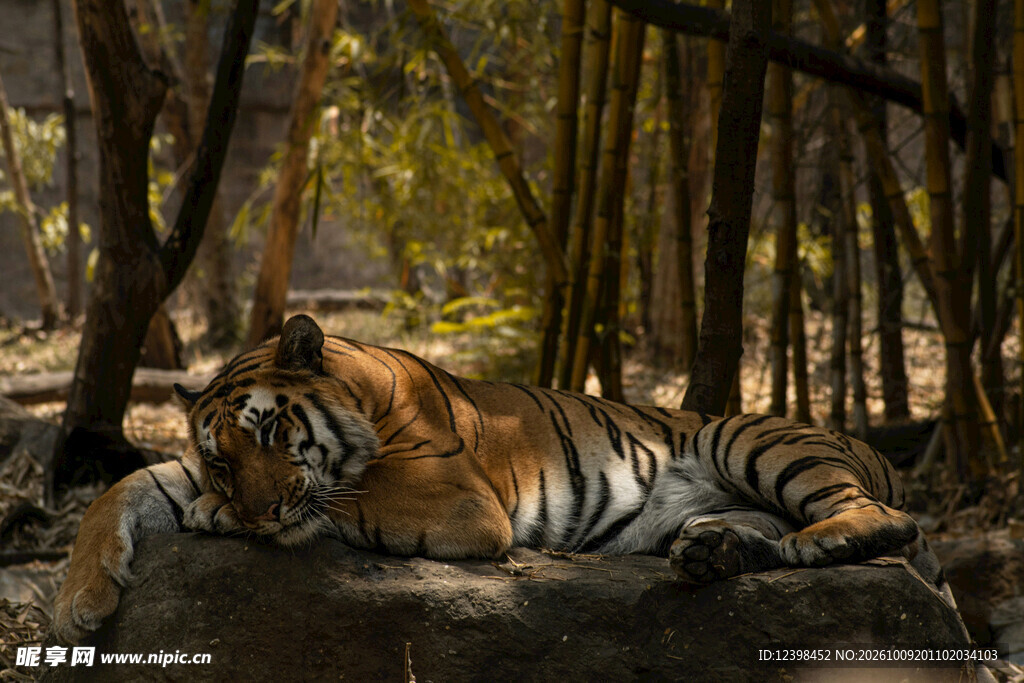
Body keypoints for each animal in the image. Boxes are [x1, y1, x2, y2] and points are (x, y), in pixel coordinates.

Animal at [52, 313, 951, 643]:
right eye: (221, 455)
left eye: (273, 431)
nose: (257, 509)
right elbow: (119, 489)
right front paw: (81, 601)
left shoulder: (456, 498)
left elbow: (348, 494)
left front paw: (215, 518)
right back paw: (715, 550)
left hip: (746, 435)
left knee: (884, 520)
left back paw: (809, 539)